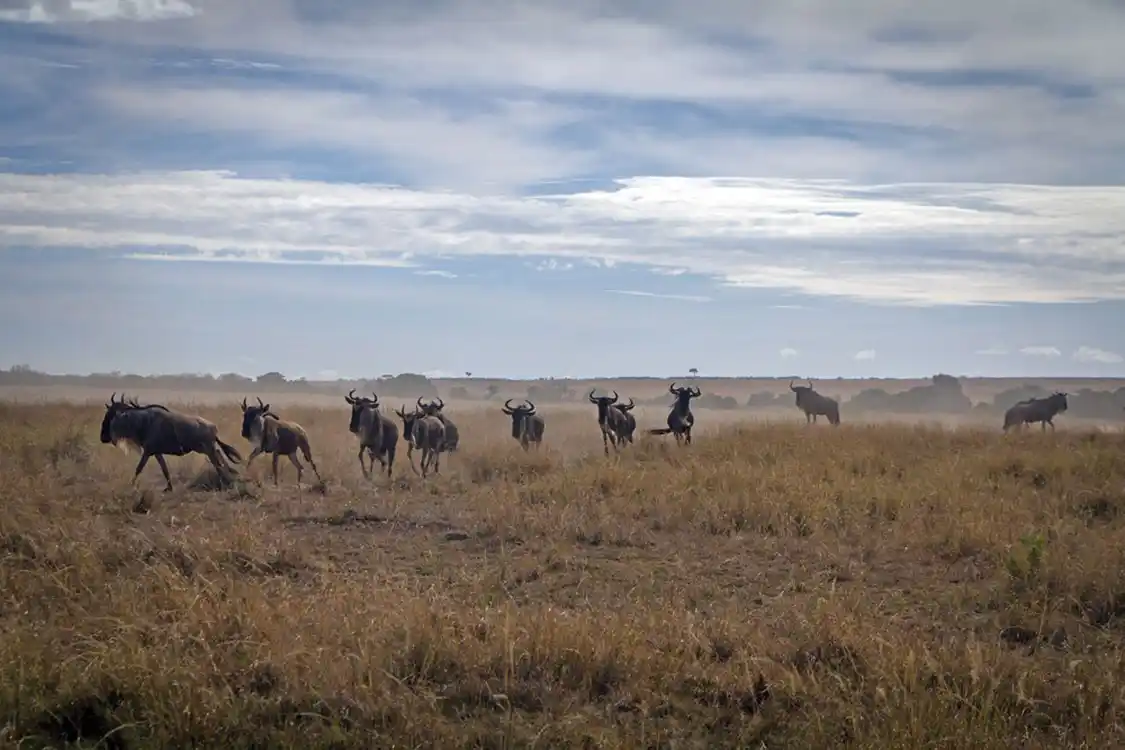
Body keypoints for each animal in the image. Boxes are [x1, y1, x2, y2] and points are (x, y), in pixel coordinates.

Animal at [99, 392, 242, 492]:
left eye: (110, 414)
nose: (103, 437)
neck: (143, 421)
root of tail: (213, 427)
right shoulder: (156, 453)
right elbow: (165, 470)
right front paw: (169, 488)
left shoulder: (147, 452)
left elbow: (138, 468)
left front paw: (131, 485)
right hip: (204, 449)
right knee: (219, 453)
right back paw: (230, 475)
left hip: (206, 449)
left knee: (217, 462)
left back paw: (225, 481)